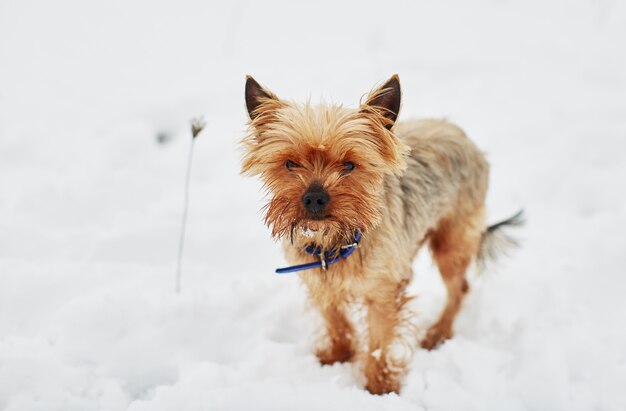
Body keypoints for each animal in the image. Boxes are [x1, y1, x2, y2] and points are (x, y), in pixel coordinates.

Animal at [239, 75, 516, 396]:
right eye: (290, 163)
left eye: (349, 164)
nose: (314, 198)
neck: (333, 242)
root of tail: (460, 133)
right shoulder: (320, 282)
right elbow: (335, 321)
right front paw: (338, 355)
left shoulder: (382, 294)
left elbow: (380, 343)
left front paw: (379, 388)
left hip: (452, 241)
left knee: (459, 288)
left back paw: (438, 333)